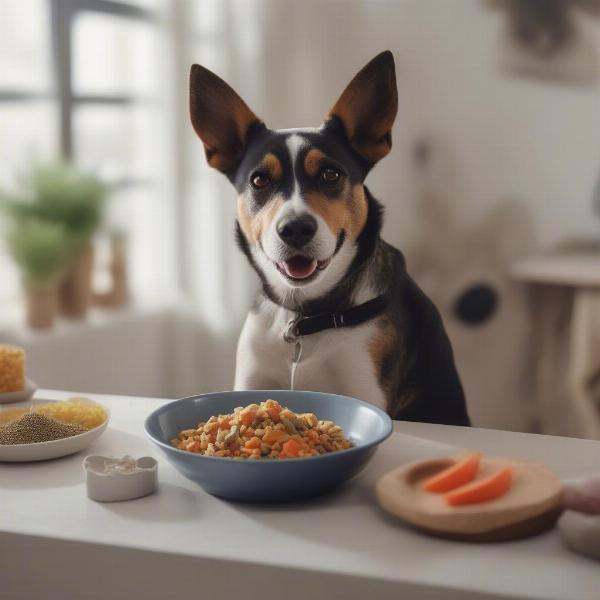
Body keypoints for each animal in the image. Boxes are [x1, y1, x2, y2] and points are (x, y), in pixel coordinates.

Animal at [190, 51, 472, 426]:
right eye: (259, 180)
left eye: (330, 174)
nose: (295, 228)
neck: (304, 317)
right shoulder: (252, 378)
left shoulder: (365, 390)